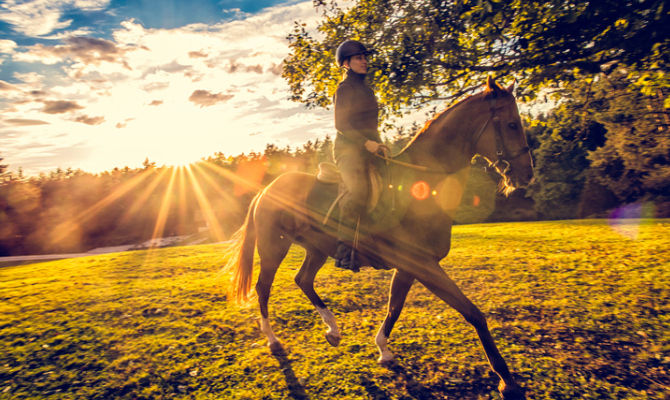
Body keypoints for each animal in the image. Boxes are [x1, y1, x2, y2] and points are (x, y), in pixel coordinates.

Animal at [226, 76, 536, 398]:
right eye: (512, 124)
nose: (527, 175)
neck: (423, 185)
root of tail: (266, 189)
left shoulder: (410, 268)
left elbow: (394, 307)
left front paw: (383, 351)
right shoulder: (424, 266)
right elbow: (473, 313)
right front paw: (507, 380)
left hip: (317, 249)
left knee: (303, 280)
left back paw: (333, 330)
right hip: (273, 248)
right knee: (263, 288)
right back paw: (274, 340)